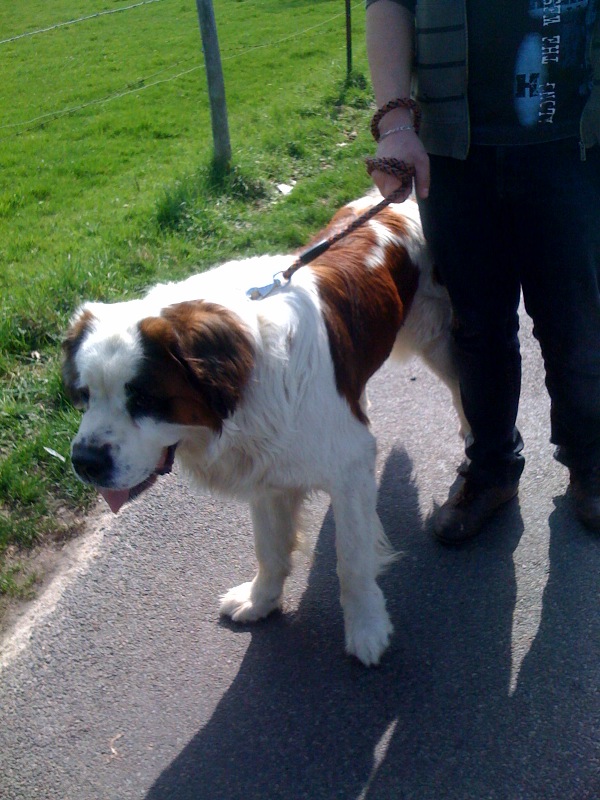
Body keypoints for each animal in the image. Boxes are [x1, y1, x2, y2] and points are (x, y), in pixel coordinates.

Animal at [62, 192, 464, 664]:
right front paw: (261, 601)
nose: (84, 461)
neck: (245, 384)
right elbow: (269, 547)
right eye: (85, 395)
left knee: (464, 392)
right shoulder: (264, 468)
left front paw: (366, 626)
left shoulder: (348, 471)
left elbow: (352, 558)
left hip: (441, 339)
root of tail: (396, 200)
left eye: (142, 399)